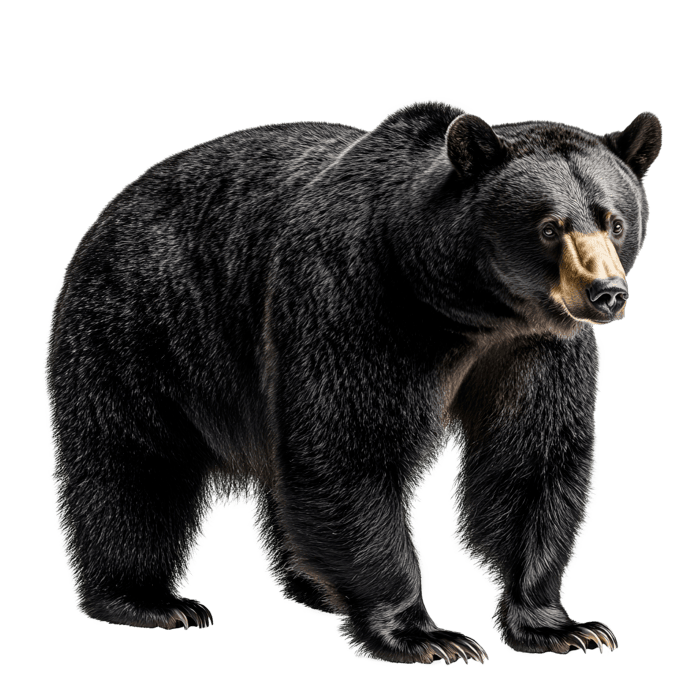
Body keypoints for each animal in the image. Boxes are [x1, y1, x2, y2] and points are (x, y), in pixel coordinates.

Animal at [44, 99, 662, 665]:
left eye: (615, 221)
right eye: (550, 227)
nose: (607, 293)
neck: (468, 308)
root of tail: (112, 208)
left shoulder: (534, 347)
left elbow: (531, 460)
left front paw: (562, 625)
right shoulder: (358, 302)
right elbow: (352, 447)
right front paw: (423, 634)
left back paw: (312, 586)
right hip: (144, 326)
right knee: (134, 465)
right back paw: (149, 601)